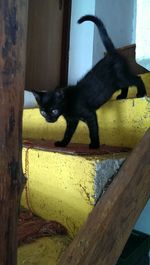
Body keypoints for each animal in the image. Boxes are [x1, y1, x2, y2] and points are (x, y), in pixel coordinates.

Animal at [32, 14, 146, 148]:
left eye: (54, 110)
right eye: (43, 112)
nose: (49, 120)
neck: (68, 104)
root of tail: (111, 53)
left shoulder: (90, 114)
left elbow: (93, 130)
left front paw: (95, 145)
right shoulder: (72, 121)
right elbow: (68, 133)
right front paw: (63, 143)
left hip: (121, 78)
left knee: (136, 79)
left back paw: (141, 93)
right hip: (118, 81)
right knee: (126, 86)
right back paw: (122, 96)